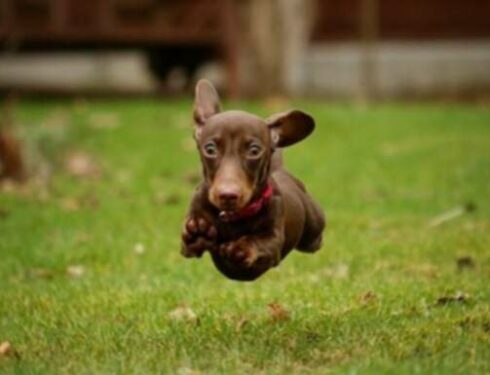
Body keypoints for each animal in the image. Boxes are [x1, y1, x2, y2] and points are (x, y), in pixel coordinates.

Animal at [180, 82, 326, 282]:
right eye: (210, 149)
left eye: (254, 151)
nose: (227, 195)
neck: (233, 216)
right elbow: (189, 243)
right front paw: (198, 233)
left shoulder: (273, 245)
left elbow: (260, 242)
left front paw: (241, 247)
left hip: (312, 230)